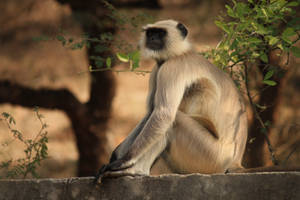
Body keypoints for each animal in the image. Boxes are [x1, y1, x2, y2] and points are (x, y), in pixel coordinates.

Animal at [95, 19, 247, 181]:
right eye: (151, 32)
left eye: (161, 33)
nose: (152, 38)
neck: (180, 54)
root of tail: (236, 161)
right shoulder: (157, 69)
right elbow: (151, 112)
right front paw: (116, 154)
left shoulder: (172, 67)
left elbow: (163, 114)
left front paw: (124, 160)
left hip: (211, 157)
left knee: (173, 121)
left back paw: (135, 170)